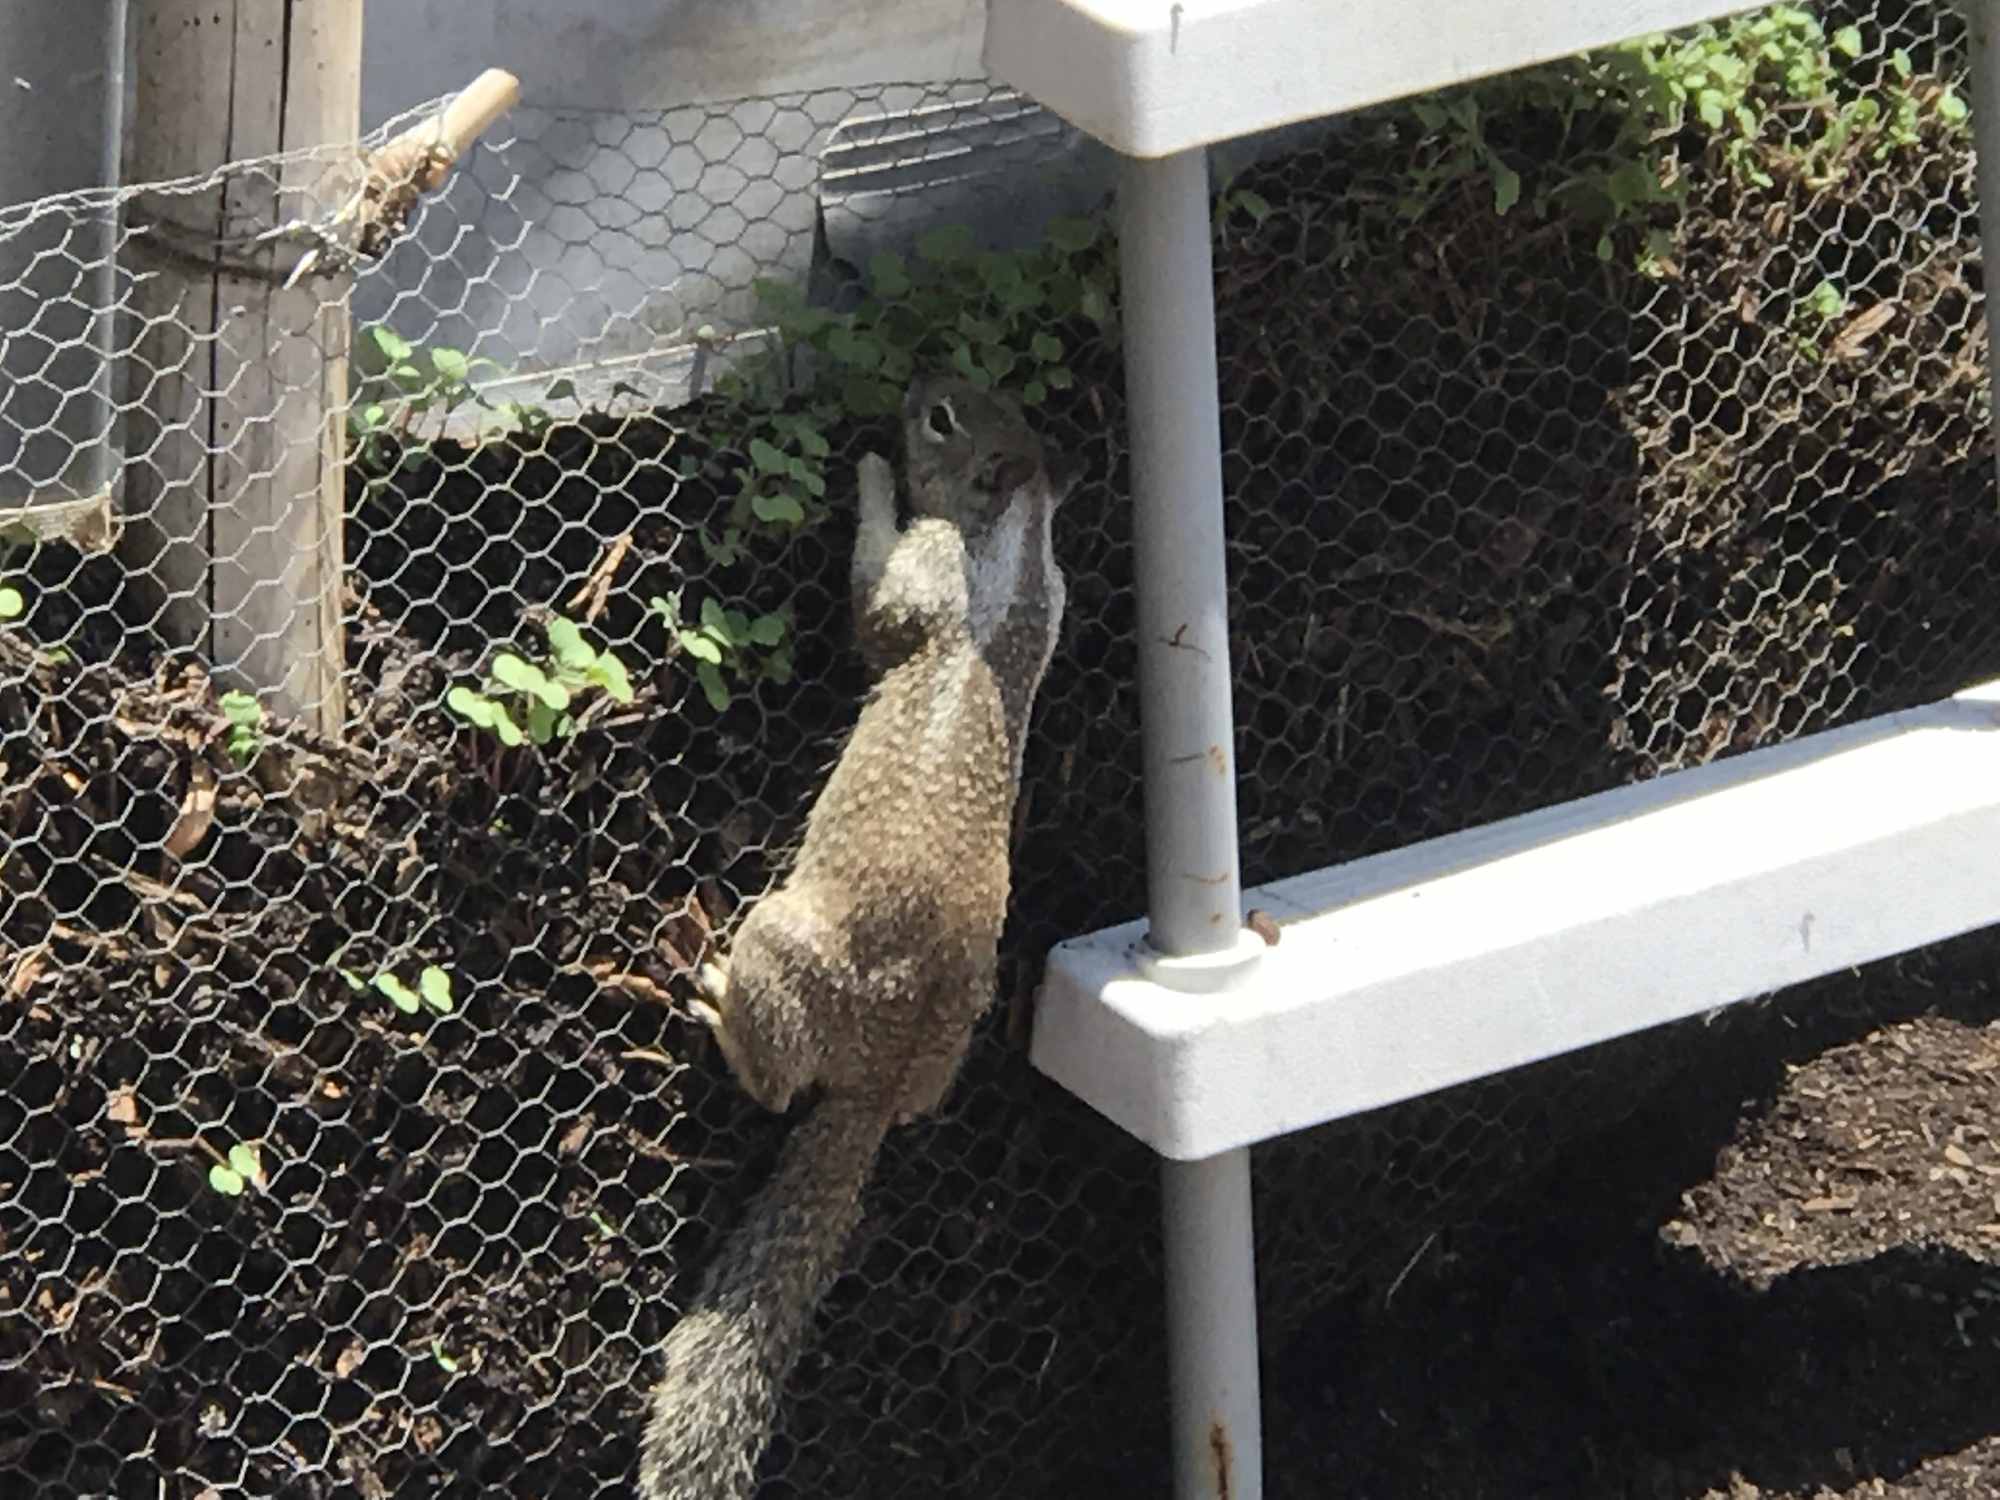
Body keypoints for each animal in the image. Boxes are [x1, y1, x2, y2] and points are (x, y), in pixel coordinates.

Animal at [640, 370, 1080, 1496]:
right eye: (972, 394)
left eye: (943, 419)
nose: (919, 378)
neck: (1013, 536)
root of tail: (876, 1089)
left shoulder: (924, 579)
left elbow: (876, 609)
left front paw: (873, 475)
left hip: (779, 942)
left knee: (774, 1083)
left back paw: (719, 1007)